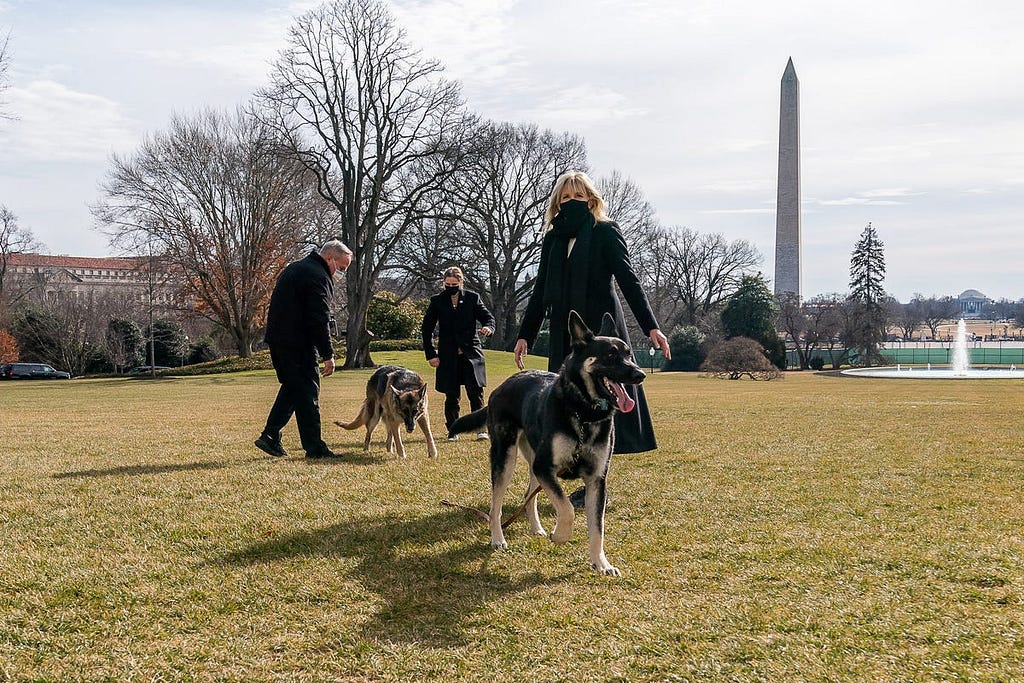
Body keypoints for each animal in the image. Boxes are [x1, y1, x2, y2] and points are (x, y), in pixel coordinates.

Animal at [450, 313, 643, 573]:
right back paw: (498, 538)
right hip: (505, 459)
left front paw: (601, 563)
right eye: (610, 355)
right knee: (495, 506)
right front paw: (560, 535)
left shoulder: (596, 480)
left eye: (629, 354)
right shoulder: (545, 467)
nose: (640, 374)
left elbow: (597, 528)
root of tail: (503, 385)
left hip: (532, 461)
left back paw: (537, 528)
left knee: (527, 496)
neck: (583, 412)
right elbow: (567, 508)